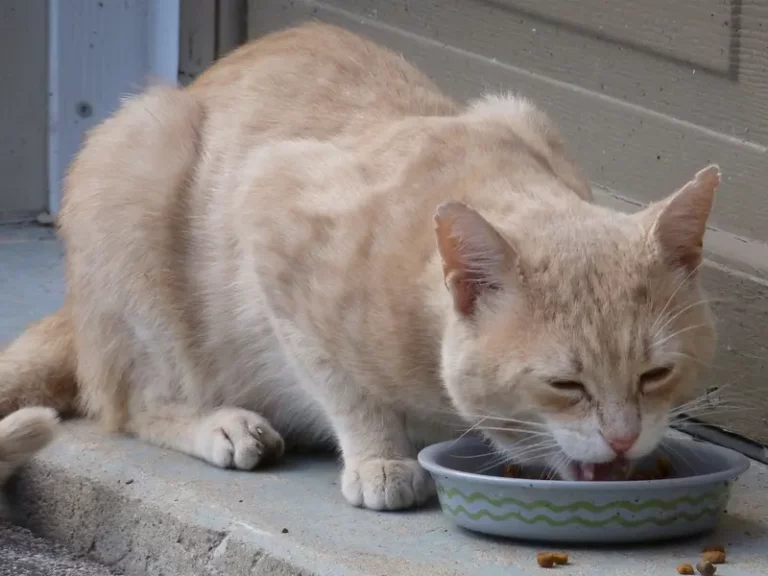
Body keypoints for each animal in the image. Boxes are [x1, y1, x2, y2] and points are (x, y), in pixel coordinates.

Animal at [0, 23, 720, 508]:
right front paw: (382, 459)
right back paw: (220, 424)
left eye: (656, 375)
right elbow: (344, 386)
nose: (624, 440)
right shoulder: (271, 222)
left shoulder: (522, 113)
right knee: (131, 402)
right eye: (564, 384)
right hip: (140, 171)